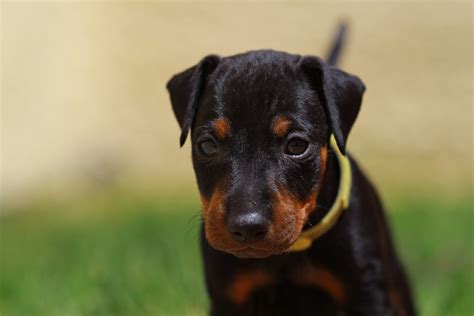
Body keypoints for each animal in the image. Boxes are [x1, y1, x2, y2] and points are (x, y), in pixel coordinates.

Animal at [166, 25, 414, 316]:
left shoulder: (368, 295)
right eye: (207, 145)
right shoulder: (230, 297)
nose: (247, 226)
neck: (290, 253)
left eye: (297, 145)